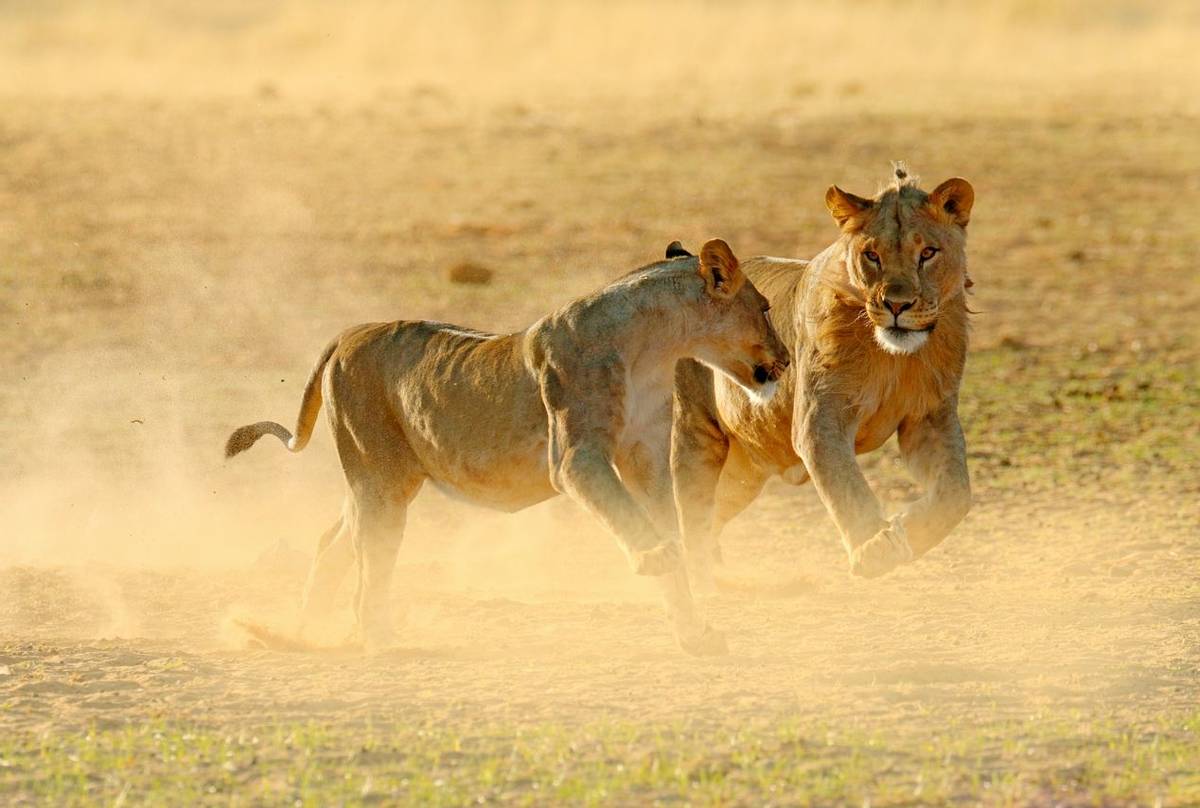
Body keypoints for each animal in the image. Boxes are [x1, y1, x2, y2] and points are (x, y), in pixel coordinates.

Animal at [224, 240, 787, 653]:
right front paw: (657, 558)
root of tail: (349, 332)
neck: (656, 346)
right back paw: (373, 640)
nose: (785, 360)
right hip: (378, 479)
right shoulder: (576, 458)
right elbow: (631, 520)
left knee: (333, 543)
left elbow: (660, 518)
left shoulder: (645, 457)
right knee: (370, 564)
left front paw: (693, 630)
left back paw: (301, 632)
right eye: (764, 308)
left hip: (379, 483)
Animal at [672, 168, 979, 585]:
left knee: (714, 511)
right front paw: (874, 547)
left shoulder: (930, 418)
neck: (894, 357)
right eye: (872, 255)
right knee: (689, 515)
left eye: (928, 253)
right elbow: (847, 487)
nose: (897, 305)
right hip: (697, 432)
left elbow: (956, 493)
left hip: (743, 471)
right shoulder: (820, 419)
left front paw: (904, 530)